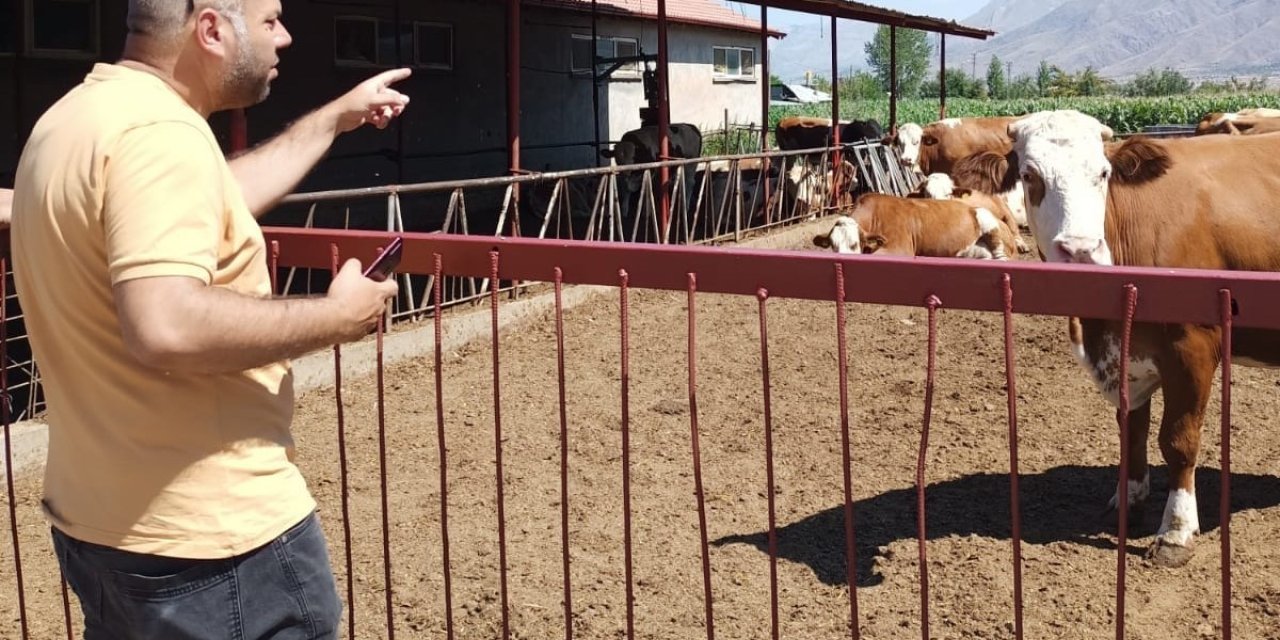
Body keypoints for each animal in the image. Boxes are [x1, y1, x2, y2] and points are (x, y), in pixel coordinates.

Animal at [1003, 108, 1280, 565]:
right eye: (1029, 175)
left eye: (1103, 172)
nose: (1080, 250)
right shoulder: (1124, 357)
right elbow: (1131, 431)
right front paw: (1128, 504)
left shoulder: (1193, 347)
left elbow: (1179, 441)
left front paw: (1176, 531)